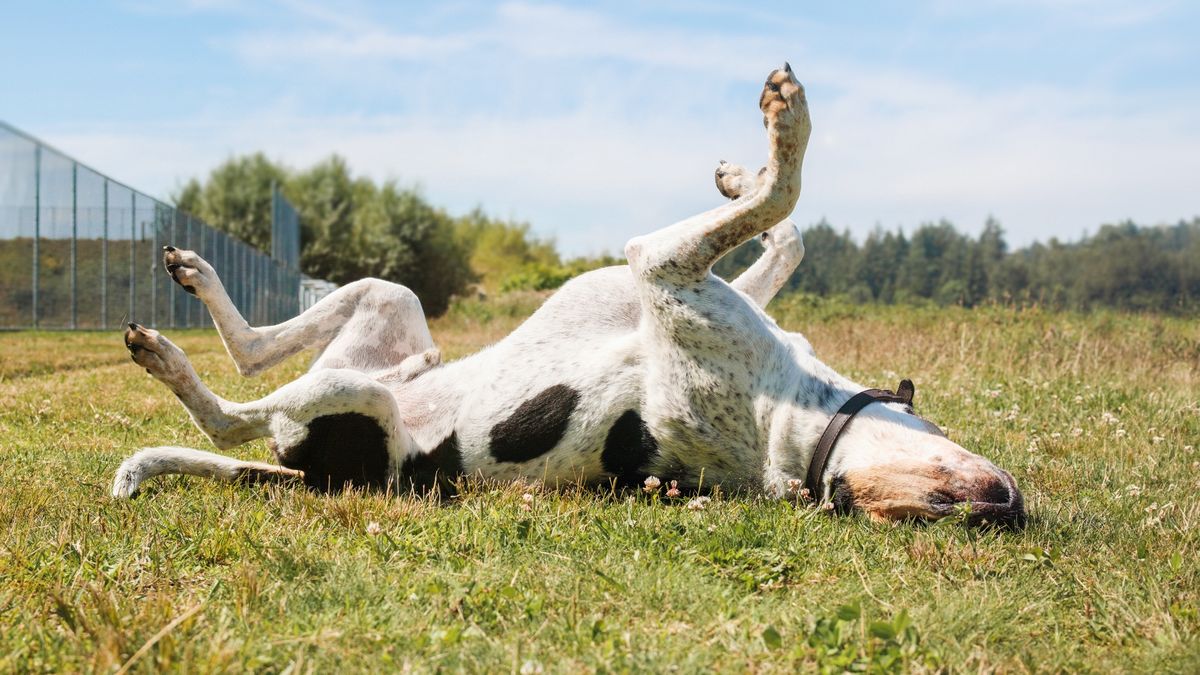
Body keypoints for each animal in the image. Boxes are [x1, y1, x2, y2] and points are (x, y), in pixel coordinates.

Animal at [117, 64, 1027, 526]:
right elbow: (782, 226)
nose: (1005, 507)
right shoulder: (692, 284)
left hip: (350, 398)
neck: (800, 430)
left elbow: (787, 195)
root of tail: (308, 473)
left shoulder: (663, 266)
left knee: (232, 413)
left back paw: (164, 357)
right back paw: (198, 282)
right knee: (257, 352)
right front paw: (746, 171)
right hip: (390, 304)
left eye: (933, 511)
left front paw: (783, 129)